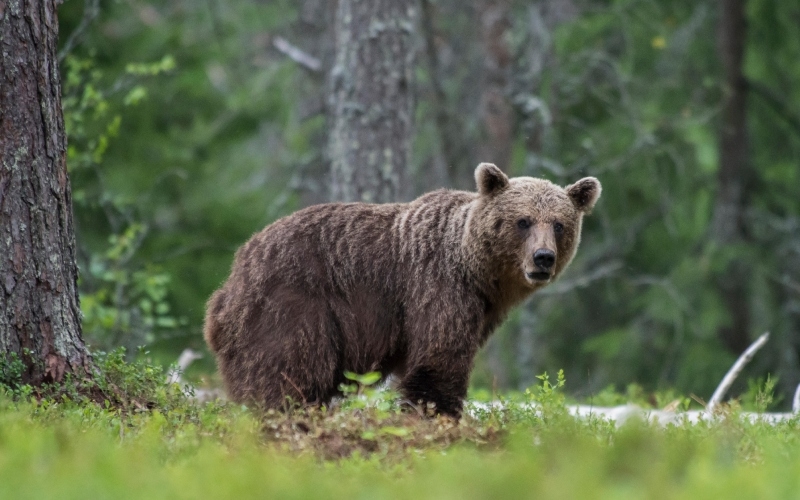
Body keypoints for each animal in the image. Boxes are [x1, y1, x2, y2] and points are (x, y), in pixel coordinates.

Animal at [205, 164, 600, 418]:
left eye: (560, 224)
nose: (543, 257)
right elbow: (439, 357)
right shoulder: (435, 285)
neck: (477, 273)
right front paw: (438, 415)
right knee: (287, 372)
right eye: (523, 221)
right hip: (293, 306)